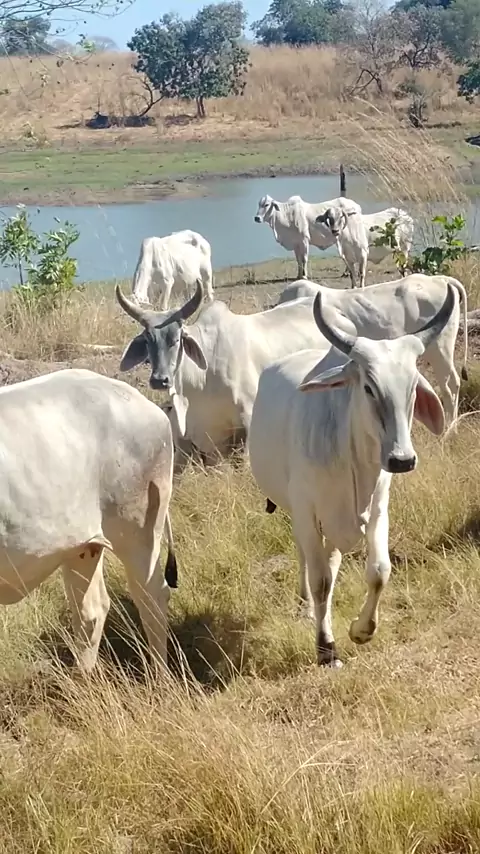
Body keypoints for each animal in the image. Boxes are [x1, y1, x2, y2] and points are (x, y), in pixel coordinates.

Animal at [247, 284, 456, 667]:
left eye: (412, 388)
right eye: (369, 387)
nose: (402, 460)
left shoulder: (378, 507)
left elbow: (379, 571)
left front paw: (362, 630)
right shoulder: (306, 511)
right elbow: (319, 581)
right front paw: (325, 648)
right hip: (298, 513)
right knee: (310, 563)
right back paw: (305, 605)